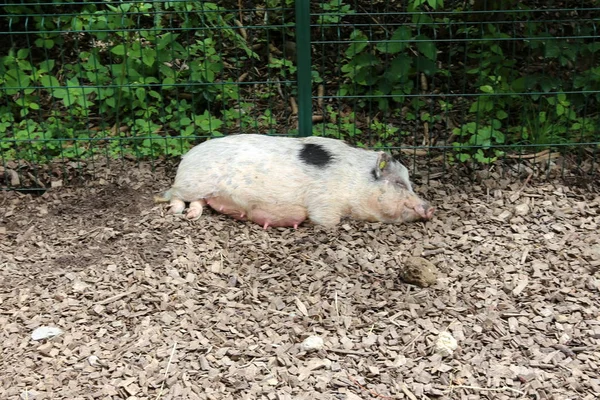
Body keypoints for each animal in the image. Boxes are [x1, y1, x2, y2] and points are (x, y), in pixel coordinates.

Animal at [157, 134, 434, 228]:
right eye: (399, 184)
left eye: (409, 182)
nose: (430, 208)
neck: (357, 185)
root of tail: (186, 156)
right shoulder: (324, 203)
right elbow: (327, 221)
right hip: (192, 183)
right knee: (174, 195)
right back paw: (177, 211)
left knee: (199, 203)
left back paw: (192, 216)